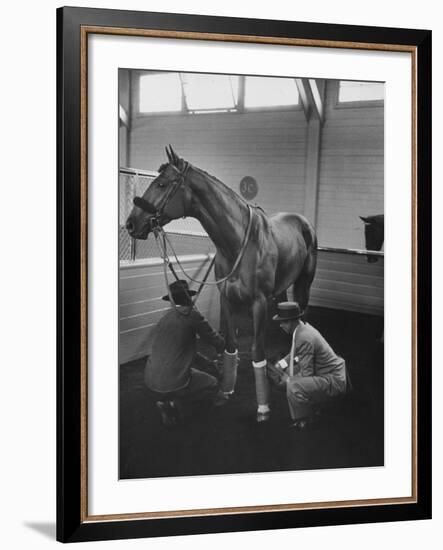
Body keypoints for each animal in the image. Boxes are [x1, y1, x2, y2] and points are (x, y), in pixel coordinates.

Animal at [126, 147, 318, 422]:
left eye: (161, 183)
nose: (131, 223)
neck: (238, 242)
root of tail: (303, 221)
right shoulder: (226, 299)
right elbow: (229, 346)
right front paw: (225, 392)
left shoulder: (259, 303)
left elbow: (257, 352)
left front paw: (263, 407)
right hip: (281, 288)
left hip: (304, 282)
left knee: (302, 316)